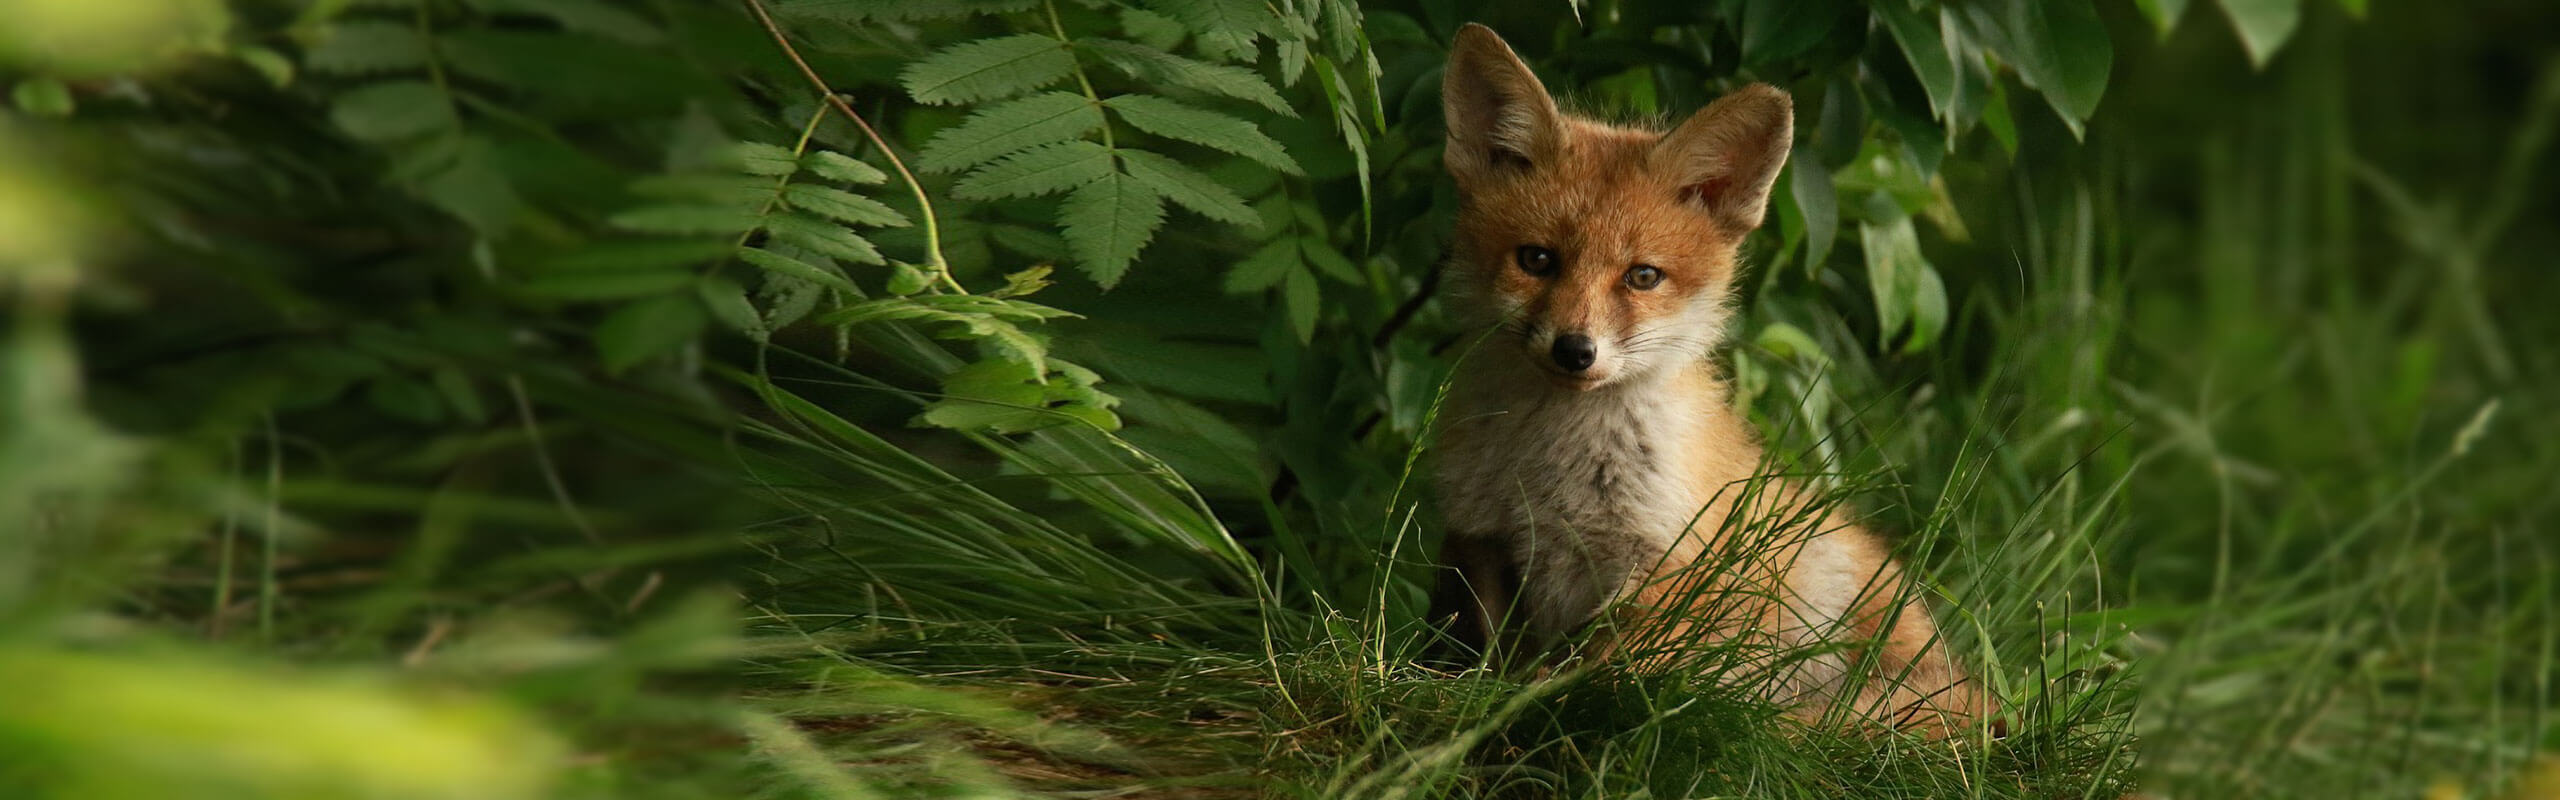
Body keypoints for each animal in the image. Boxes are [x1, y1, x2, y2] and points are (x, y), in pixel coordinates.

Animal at [1433, 23, 1986, 738]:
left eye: (1643, 276)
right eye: (1536, 260)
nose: (1575, 350)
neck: (1552, 470)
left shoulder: (1668, 566)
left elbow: (1599, 673)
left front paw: (1540, 704)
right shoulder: (1483, 537)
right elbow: (1488, 654)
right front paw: (1480, 697)